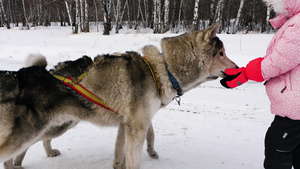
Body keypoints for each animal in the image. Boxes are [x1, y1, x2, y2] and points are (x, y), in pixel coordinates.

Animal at [0, 23, 237, 168]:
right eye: (221, 53)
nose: (237, 68)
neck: (164, 69)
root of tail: (20, 75)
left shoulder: (127, 125)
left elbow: (121, 155)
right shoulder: (137, 127)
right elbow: (135, 157)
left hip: (57, 126)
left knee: (34, 145)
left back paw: (34, 159)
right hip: (37, 130)